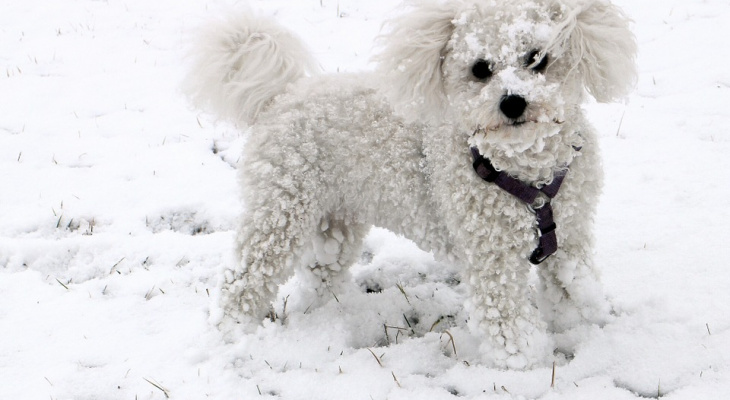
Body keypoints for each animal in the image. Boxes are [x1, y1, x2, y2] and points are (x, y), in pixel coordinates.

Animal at [185, 0, 636, 368]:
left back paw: (333, 316)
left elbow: (570, 290)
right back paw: (233, 331)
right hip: (280, 212)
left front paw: (579, 330)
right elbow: (506, 321)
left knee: (320, 272)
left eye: (537, 58)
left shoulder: (571, 238)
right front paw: (526, 365)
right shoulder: (491, 258)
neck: (527, 174)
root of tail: (283, 95)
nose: (512, 102)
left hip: (337, 218)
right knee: (243, 277)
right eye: (480, 69)